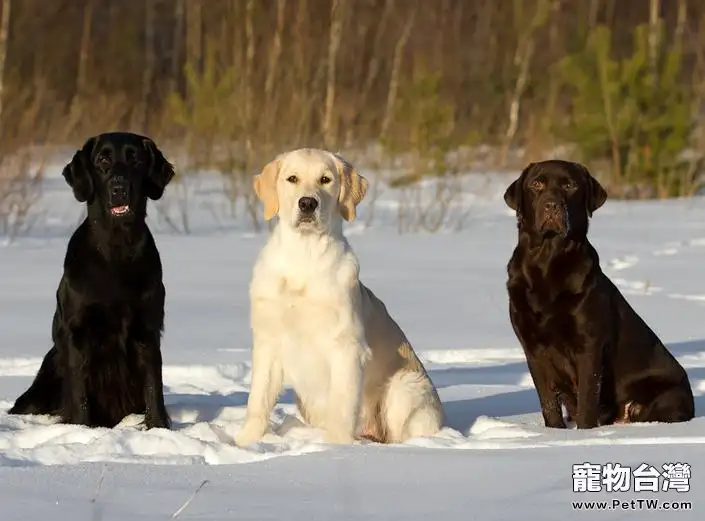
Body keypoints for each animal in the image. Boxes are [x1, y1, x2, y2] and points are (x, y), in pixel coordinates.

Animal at [10, 131, 175, 426]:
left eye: (135, 160)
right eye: (102, 161)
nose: (119, 188)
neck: (116, 249)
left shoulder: (148, 328)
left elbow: (153, 386)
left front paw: (158, 428)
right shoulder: (78, 332)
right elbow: (79, 393)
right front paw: (80, 428)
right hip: (50, 368)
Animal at [234, 148, 442, 444]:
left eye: (325, 179)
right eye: (292, 178)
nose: (307, 203)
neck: (304, 256)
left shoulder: (347, 347)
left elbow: (342, 406)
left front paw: (337, 448)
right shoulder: (268, 342)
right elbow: (258, 401)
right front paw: (246, 443)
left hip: (404, 386)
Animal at [500, 158, 692, 426]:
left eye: (569, 185)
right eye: (536, 184)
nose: (552, 205)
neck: (547, 262)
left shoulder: (589, 346)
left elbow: (587, 399)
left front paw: (586, 431)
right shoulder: (533, 349)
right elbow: (548, 403)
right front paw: (553, 432)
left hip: (665, 397)